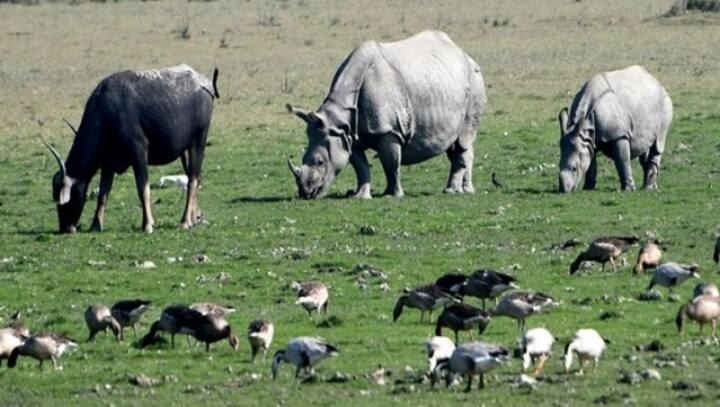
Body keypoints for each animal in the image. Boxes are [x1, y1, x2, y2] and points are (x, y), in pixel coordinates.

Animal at [286, 30, 487, 199]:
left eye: (320, 162)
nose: (306, 193)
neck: (337, 117)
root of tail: (463, 53)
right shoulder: (348, 134)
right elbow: (360, 167)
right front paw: (360, 196)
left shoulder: (388, 129)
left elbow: (391, 164)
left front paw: (393, 195)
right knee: (459, 143)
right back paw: (466, 190)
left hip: (474, 80)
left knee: (463, 138)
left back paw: (452, 191)